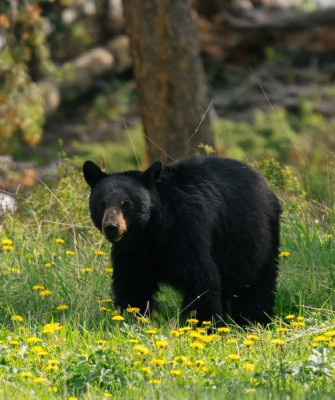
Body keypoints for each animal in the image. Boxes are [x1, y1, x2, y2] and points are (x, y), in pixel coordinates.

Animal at [83, 155, 280, 324]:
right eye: (103, 203)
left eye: (126, 203)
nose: (112, 227)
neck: (151, 231)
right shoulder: (131, 249)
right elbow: (132, 283)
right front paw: (132, 318)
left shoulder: (186, 233)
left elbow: (201, 280)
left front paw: (204, 325)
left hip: (255, 238)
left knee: (256, 283)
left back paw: (253, 320)